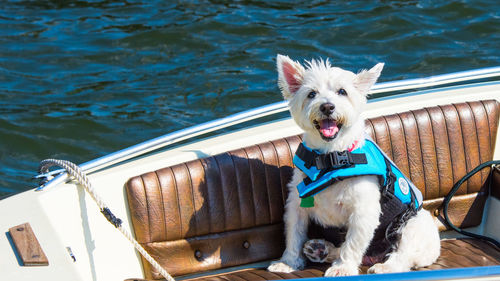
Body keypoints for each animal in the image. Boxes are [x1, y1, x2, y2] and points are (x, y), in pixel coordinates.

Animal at [268, 55, 440, 276]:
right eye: (311, 93)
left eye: (342, 91)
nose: (327, 107)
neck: (330, 158)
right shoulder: (296, 206)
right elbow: (294, 235)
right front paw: (288, 262)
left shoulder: (363, 211)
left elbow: (352, 244)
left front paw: (343, 268)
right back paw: (321, 249)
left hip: (413, 225)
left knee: (403, 255)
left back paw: (384, 267)